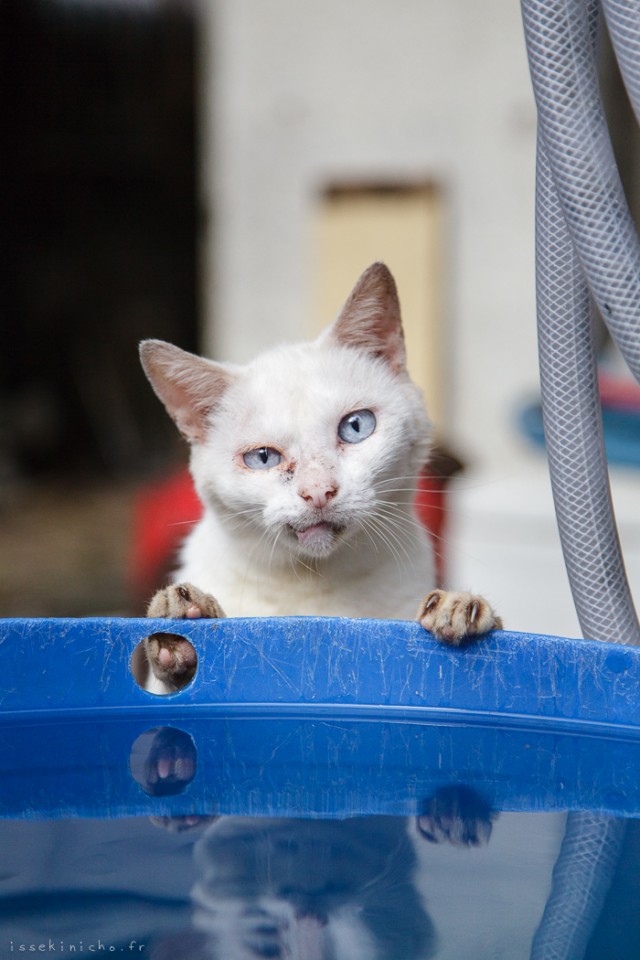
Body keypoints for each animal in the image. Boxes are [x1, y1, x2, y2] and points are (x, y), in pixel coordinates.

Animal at [139, 262, 500, 692]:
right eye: (263, 457)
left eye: (356, 426)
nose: (318, 492)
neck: (312, 590)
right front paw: (179, 628)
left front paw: (457, 607)